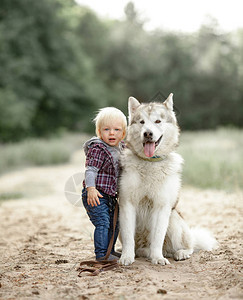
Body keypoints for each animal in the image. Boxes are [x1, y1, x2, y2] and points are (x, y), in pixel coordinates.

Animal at [118, 93, 217, 264]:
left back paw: (180, 253)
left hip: (174, 220)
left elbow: (157, 237)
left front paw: (158, 258)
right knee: (141, 247)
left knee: (186, 246)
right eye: (142, 122)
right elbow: (128, 238)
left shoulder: (162, 206)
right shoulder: (127, 204)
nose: (148, 133)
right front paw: (126, 257)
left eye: (158, 121)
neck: (150, 163)